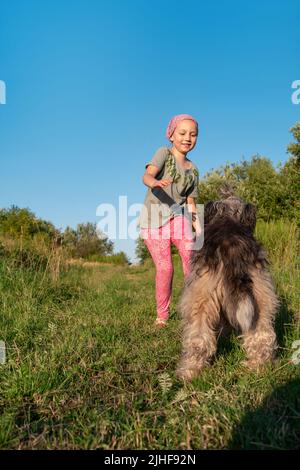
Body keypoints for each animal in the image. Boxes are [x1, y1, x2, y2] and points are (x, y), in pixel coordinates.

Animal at [176, 185, 278, 380]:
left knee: (199, 340)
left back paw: (189, 372)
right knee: (262, 334)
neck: (227, 218)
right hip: (260, 294)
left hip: (201, 298)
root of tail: (233, 247)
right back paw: (258, 367)